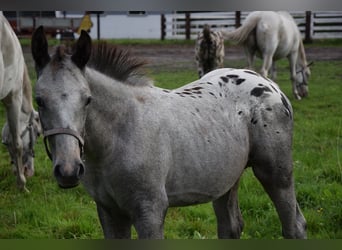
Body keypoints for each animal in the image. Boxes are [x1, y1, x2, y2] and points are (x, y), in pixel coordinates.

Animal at [30, 26, 306, 239]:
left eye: (87, 99)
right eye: (39, 101)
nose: (68, 170)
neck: (119, 137)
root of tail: (268, 83)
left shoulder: (150, 211)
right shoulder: (108, 211)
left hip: (275, 173)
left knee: (295, 225)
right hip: (226, 178)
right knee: (231, 227)